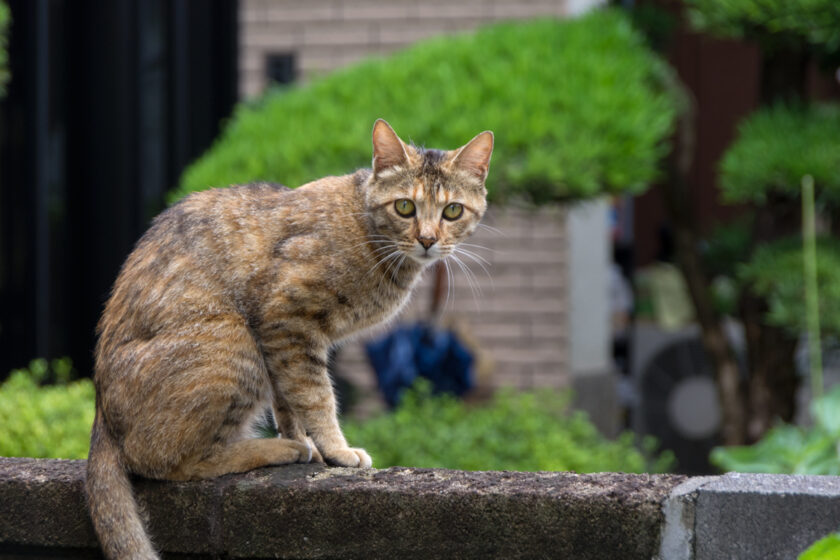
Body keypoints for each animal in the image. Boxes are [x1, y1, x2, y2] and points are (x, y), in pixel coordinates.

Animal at [85, 118, 492, 556]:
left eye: (452, 210)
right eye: (404, 207)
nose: (428, 240)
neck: (365, 227)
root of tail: (101, 414)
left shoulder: (289, 343)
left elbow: (290, 401)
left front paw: (309, 443)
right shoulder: (287, 319)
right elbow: (316, 397)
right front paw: (336, 449)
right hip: (233, 340)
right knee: (166, 461)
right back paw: (275, 449)